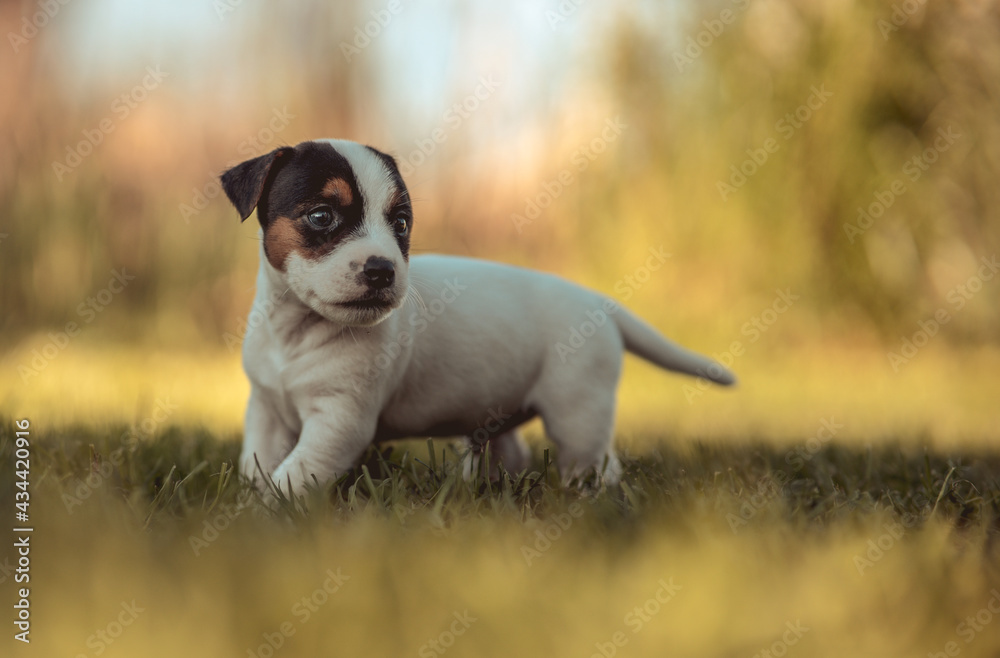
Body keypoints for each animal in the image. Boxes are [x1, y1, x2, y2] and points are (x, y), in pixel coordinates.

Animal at [221, 140, 736, 498]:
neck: (298, 330)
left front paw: (265, 511)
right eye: (322, 216)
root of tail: (599, 302)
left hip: (578, 413)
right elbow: (258, 462)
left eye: (401, 224)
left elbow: (294, 474)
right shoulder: (265, 411)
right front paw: (251, 499)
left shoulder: (339, 422)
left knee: (598, 463)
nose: (383, 269)